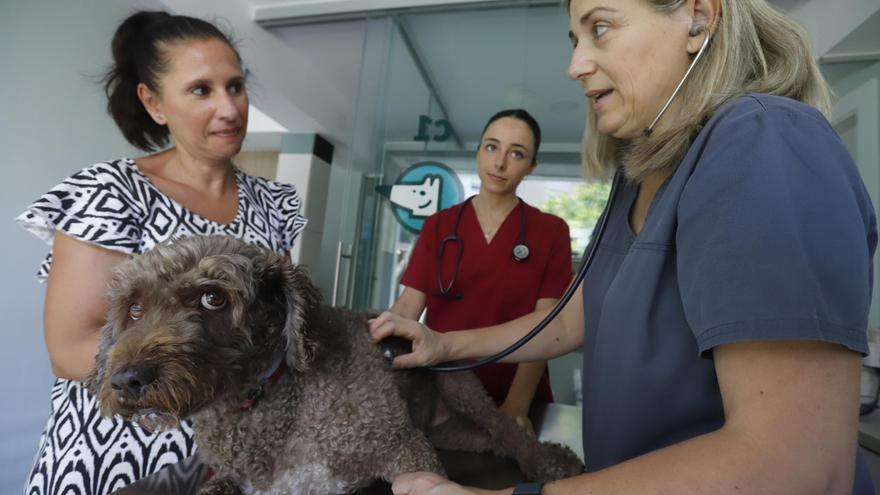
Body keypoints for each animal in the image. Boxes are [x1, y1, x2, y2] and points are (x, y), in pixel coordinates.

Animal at [86, 236, 584, 495]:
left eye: (213, 298)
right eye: (134, 308)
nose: (126, 379)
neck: (269, 401)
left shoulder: (405, 448)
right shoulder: (230, 479)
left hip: (459, 385)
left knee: (508, 433)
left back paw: (552, 461)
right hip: (447, 429)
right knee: (486, 441)